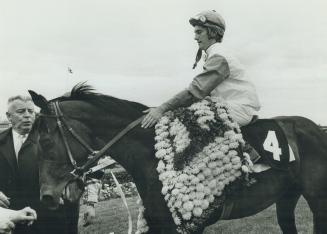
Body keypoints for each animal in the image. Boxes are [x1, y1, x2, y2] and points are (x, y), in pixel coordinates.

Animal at [28, 84, 327, 234]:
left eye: (44, 141)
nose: (46, 196)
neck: (152, 157)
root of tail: (315, 128)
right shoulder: (160, 224)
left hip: (317, 199)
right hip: (287, 197)